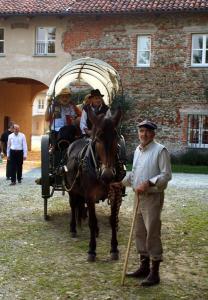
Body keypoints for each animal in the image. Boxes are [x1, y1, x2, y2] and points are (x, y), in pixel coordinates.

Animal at [65, 109, 122, 262]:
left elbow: (113, 220)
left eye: (116, 138)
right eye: (98, 139)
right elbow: (91, 220)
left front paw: (114, 249)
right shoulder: (90, 196)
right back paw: (73, 228)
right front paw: (91, 250)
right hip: (72, 189)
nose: (107, 175)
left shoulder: (115, 193)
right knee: (73, 205)